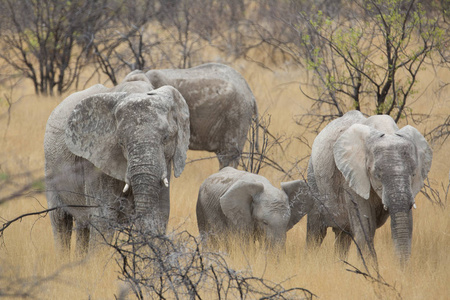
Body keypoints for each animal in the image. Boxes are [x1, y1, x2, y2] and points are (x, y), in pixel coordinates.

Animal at [46, 71, 192, 256]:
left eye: (166, 138)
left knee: (82, 222)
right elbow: (104, 215)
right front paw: (99, 260)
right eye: (121, 142)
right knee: (60, 219)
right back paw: (62, 258)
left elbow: (158, 214)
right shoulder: (96, 161)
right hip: (50, 167)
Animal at [306, 110, 432, 264]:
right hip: (313, 179)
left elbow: (407, 223)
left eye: (413, 174)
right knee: (316, 232)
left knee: (343, 235)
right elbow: (366, 228)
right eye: (377, 175)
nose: (401, 268)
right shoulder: (352, 178)